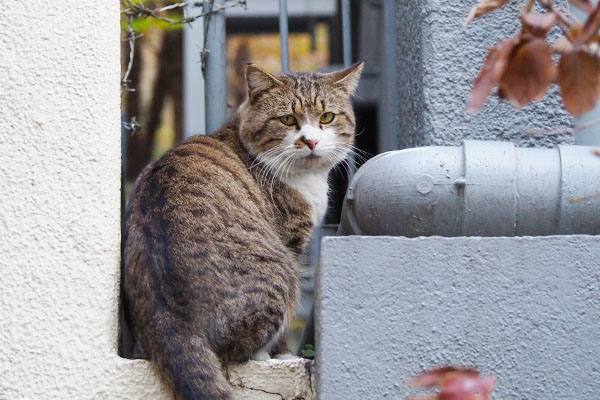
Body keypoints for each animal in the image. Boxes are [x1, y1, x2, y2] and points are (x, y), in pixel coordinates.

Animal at [123, 61, 360, 398]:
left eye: (327, 117)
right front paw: (282, 353)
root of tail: (173, 322)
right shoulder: (292, 241)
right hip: (284, 275)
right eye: (287, 119)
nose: (311, 141)